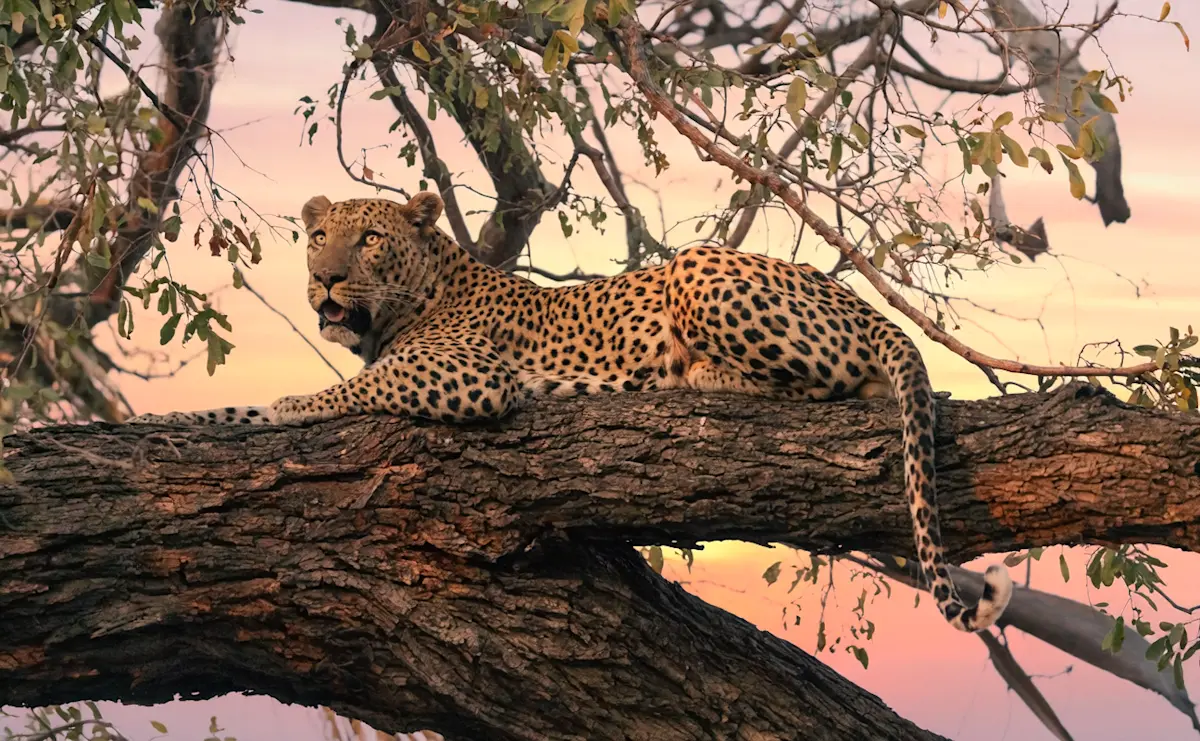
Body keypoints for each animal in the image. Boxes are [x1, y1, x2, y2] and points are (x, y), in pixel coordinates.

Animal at [130, 192, 1013, 633]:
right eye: (317, 237)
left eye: (370, 238)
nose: (325, 282)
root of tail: (868, 308)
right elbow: (241, 407)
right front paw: (179, 423)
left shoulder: (468, 373)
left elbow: (344, 390)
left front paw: (288, 403)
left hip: (698, 271)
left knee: (834, 383)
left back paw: (697, 377)